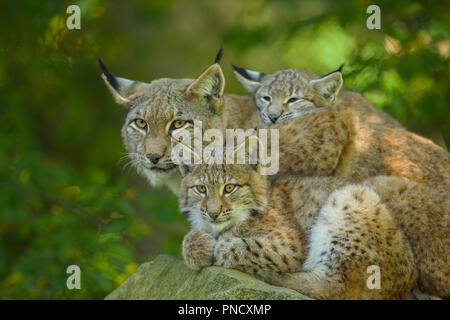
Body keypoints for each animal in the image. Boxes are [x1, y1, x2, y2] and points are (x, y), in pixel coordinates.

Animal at [180, 144, 450, 298]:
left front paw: (211, 247)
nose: (213, 213)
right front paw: (196, 244)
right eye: (201, 189)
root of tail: (406, 281)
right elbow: (190, 239)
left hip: (352, 196)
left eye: (230, 188)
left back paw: (275, 279)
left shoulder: (288, 248)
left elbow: (232, 248)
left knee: (335, 288)